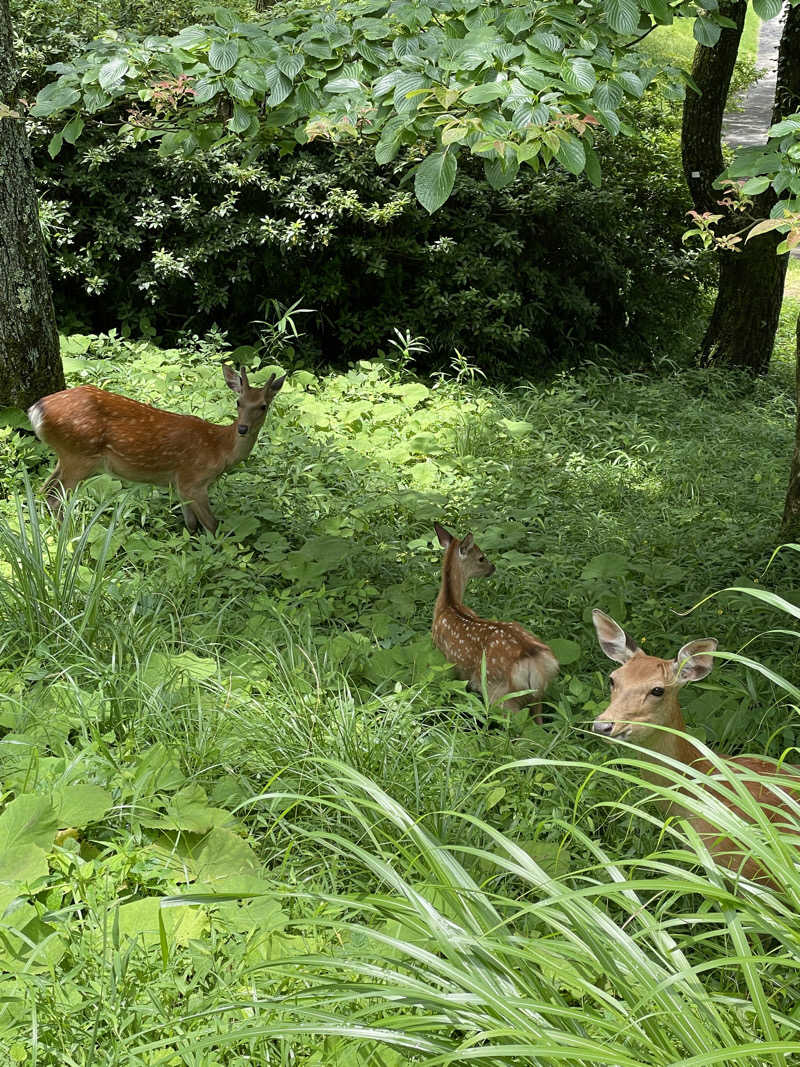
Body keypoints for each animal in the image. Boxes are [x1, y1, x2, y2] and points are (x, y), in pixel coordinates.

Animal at [29, 367, 285, 533]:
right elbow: (212, 525)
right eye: (238, 402)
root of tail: (36, 410)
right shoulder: (193, 481)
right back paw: (69, 536)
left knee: (43, 489)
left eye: (263, 406)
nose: (242, 428)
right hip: (79, 456)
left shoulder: (180, 485)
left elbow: (191, 525)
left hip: (69, 457)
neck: (219, 448)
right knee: (54, 497)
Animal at [433, 520, 558, 721]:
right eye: (481, 557)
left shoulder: (449, 662)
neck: (448, 604)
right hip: (537, 692)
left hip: (498, 690)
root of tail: (532, 658)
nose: (493, 568)